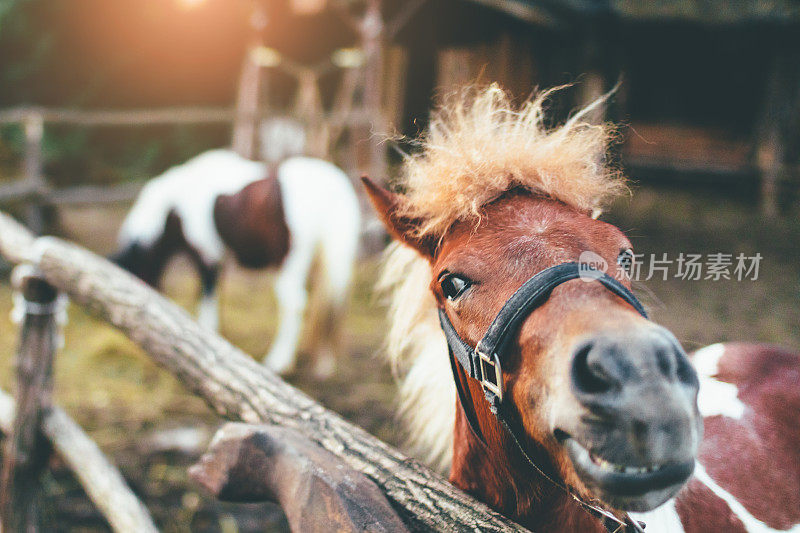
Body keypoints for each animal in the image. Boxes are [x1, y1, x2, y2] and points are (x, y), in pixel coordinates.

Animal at [113, 149, 360, 374]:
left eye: (133, 271)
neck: (177, 205)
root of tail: (333, 187)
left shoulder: (208, 256)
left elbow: (207, 297)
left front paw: (206, 333)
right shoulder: (218, 258)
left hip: (289, 263)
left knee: (296, 303)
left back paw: (280, 361)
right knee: (327, 305)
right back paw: (323, 364)